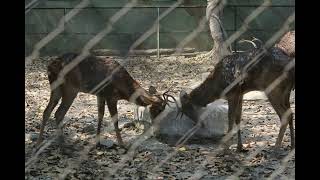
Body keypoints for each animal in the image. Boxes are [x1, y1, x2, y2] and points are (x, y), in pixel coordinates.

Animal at [36, 52, 172, 148]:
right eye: (159, 109)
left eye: (164, 108)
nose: (157, 127)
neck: (124, 89)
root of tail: (50, 66)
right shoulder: (111, 96)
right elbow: (115, 120)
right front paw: (122, 144)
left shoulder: (100, 95)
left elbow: (100, 116)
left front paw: (97, 142)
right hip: (70, 88)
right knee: (58, 113)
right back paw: (63, 145)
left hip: (56, 88)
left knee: (47, 111)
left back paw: (40, 142)